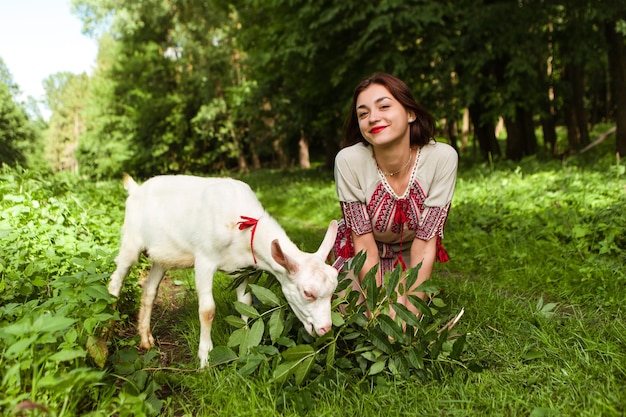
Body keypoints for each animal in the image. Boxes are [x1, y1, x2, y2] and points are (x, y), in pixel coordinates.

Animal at [109, 174, 338, 366]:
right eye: (308, 292)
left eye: (332, 291)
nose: (326, 328)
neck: (241, 225)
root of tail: (136, 189)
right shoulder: (204, 259)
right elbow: (207, 309)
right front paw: (205, 359)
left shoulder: (243, 268)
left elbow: (245, 302)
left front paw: (247, 342)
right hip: (131, 241)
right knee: (115, 282)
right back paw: (109, 333)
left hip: (161, 256)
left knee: (149, 290)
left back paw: (146, 339)